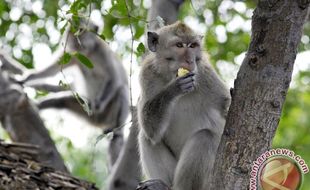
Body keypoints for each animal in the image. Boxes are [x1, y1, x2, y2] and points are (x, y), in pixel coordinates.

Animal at [137, 21, 231, 190]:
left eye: (193, 45)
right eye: (179, 45)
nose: (190, 61)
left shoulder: (206, 74)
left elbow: (226, 104)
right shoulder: (147, 74)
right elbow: (151, 130)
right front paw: (174, 88)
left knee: (205, 137)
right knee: (146, 136)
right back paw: (163, 186)